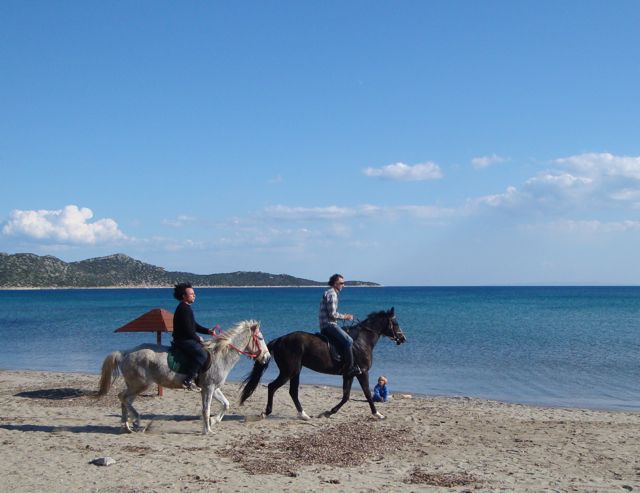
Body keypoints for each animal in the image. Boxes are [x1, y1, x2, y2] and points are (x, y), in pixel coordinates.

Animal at [96, 320, 268, 430]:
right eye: (260, 338)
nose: (266, 357)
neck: (220, 355)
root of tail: (125, 353)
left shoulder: (214, 388)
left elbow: (226, 404)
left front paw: (213, 421)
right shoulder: (208, 388)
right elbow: (206, 409)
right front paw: (207, 430)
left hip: (135, 386)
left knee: (125, 399)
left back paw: (127, 424)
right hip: (140, 385)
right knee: (123, 397)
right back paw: (135, 420)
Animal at [240, 308, 404, 418]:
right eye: (395, 323)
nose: (403, 338)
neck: (362, 341)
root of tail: (280, 339)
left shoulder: (349, 375)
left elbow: (346, 396)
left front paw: (329, 412)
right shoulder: (362, 372)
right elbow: (367, 394)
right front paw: (377, 414)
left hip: (296, 371)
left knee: (292, 392)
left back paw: (303, 414)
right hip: (289, 371)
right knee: (272, 387)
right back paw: (267, 412)